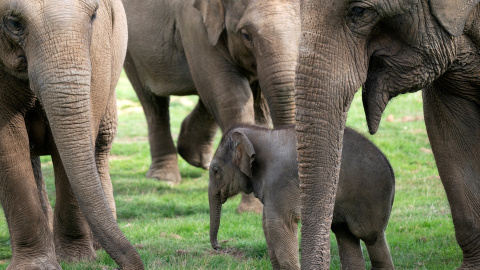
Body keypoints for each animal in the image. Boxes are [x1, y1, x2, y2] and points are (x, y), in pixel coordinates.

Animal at [0, 1, 142, 268]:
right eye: (13, 23)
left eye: (94, 15)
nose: (132, 265)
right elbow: (8, 142)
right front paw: (36, 266)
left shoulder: (98, 48)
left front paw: (77, 260)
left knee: (101, 144)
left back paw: (96, 246)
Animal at [122, 0, 298, 184]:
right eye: (245, 35)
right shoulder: (193, 25)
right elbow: (231, 94)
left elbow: (256, 99)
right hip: (130, 50)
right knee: (152, 102)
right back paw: (164, 178)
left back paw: (196, 158)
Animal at [209, 125, 394, 268]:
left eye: (216, 171)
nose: (218, 246)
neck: (262, 132)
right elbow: (267, 225)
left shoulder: (280, 180)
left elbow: (279, 224)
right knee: (345, 235)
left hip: (372, 196)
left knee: (370, 235)